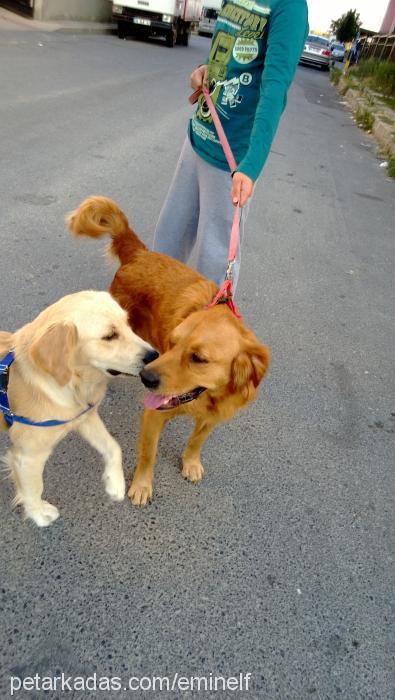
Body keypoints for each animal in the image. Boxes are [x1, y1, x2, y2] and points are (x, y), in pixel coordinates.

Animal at [0, 290, 156, 524]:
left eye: (128, 324)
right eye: (109, 336)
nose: (155, 355)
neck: (71, 384)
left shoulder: (84, 417)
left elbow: (113, 446)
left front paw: (115, 483)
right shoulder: (28, 456)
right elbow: (34, 488)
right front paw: (39, 514)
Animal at [69, 196, 272, 504]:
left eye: (198, 358)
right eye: (173, 343)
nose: (146, 378)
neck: (208, 397)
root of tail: (141, 253)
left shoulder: (212, 417)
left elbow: (197, 440)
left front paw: (191, 462)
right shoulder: (154, 414)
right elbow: (148, 454)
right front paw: (142, 486)